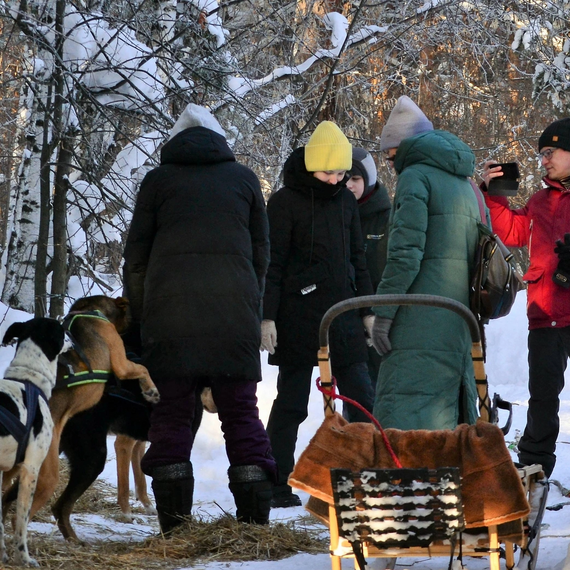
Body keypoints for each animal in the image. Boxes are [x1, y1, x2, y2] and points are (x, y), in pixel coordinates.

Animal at [0, 318, 69, 564]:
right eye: (62, 330)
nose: (70, 331)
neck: (28, 380)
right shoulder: (30, 469)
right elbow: (21, 520)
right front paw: (24, 557)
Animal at [3, 292, 159, 536]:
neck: (88, 310)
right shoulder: (121, 362)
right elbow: (142, 369)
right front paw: (150, 389)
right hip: (48, 475)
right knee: (22, 515)